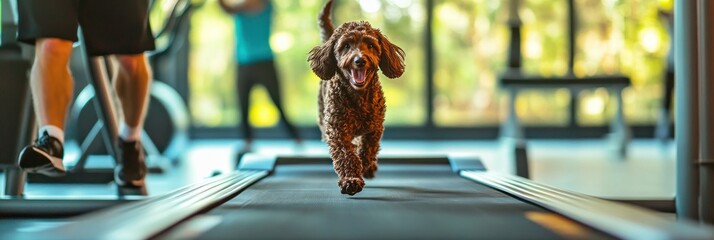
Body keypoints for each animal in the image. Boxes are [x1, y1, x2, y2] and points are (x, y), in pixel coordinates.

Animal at [306, 0, 404, 195]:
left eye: (370, 45)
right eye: (346, 46)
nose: (359, 60)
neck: (358, 97)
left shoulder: (374, 128)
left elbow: (367, 150)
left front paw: (365, 167)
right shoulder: (337, 131)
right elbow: (346, 155)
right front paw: (351, 180)